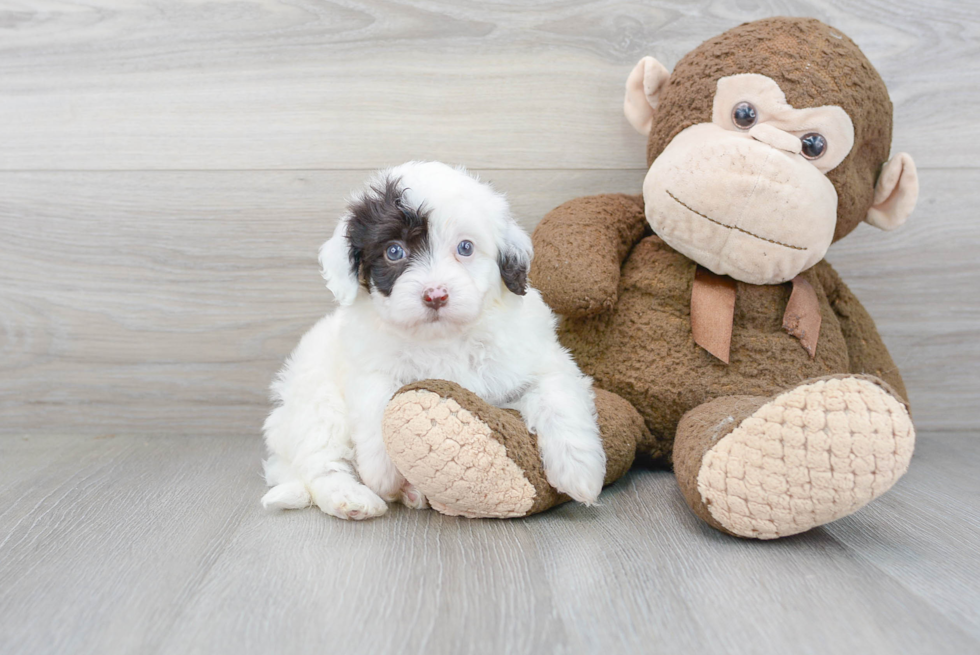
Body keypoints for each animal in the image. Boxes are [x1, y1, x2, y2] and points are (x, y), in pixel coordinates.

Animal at [264, 161, 608, 520]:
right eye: (394, 251)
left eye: (465, 247)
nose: (435, 295)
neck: (444, 339)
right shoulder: (368, 367)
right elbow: (377, 404)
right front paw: (382, 472)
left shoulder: (540, 357)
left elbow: (558, 397)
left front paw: (579, 471)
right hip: (317, 402)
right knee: (321, 464)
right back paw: (353, 498)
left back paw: (411, 493)